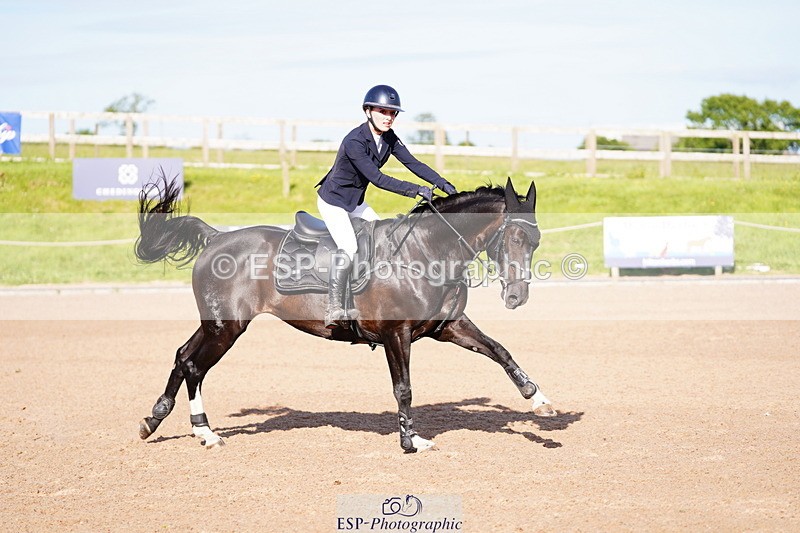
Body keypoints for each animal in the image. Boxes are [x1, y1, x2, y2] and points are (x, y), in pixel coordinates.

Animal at [135, 177, 556, 453]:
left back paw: (157, 419)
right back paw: (204, 432)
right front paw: (410, 440)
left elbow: (499, 351)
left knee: (184, 357)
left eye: (535, 241)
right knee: (194, 366)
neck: (426, 251)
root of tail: (217, 237)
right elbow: (403, 388)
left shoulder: (447, 326)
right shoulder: (396, 334)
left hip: (216, 324)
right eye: (515, 237)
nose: (517, 297)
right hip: (227, 327)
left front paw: (537, 398)